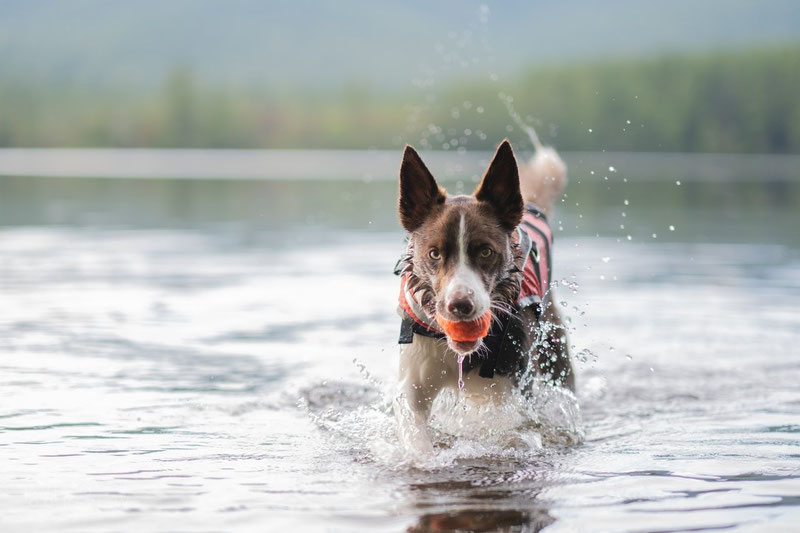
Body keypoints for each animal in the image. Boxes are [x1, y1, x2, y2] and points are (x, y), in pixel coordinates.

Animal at [392, 138, 572, 454]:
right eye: (434, 253)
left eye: (486, 251)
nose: (460, 305)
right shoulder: (412, 377)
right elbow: (414, 427)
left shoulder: (510, 390)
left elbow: (507, 427)